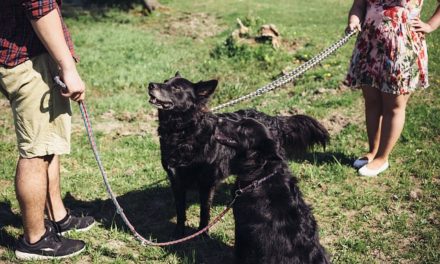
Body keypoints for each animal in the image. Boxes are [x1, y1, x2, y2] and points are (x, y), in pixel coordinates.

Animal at [149, 72, 330, 237]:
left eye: (176, 88)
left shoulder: (206, 183)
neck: (182, 132)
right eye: (165, 81)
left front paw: (202, 235)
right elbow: (180, 210)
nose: (150, 85)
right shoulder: (176, 180)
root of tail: (274, 120)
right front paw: (178, 233)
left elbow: (204, 211)